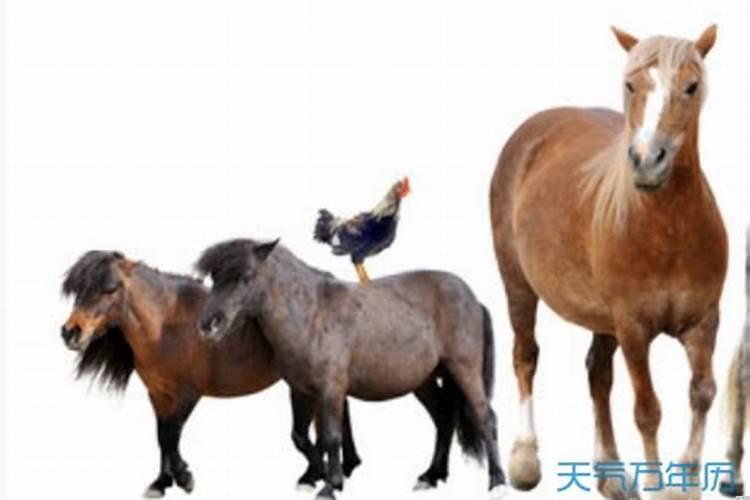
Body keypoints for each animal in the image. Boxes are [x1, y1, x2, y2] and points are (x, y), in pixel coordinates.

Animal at [59, 250, 363, 497]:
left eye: (110, 288)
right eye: (78, 289)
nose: (70, 332)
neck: (166, 325)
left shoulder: (188, 394)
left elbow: (171, 435)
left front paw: (184, 477)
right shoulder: (158, 395)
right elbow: (161, 437)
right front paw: (161, 482)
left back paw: (318, 475)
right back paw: (340, 467)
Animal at [195, 238, 507, 500]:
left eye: (246, 277)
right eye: (215, 278)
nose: (208, 325)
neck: (311, 316)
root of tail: (473, 299)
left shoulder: (331, 390)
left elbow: (331, 437)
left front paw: (330, 484)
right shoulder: (300, 390)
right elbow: (301, 437)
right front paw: (316, 476)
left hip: (464, 370)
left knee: (485, 418)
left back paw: (497, 481)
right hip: (424, 381)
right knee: (443, 419)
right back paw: (430, 476)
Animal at [489, 26, 726, 499]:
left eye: (691, 87)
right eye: (631, 85)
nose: (647, 161)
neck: (668, 231)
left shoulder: (703, 321)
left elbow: (702, 393)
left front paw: (685, 483)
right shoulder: (633, 328)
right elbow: (648, 410)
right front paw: (655, 484)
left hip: (603, 318)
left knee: (597, 375)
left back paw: (611, 475)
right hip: (517, 282)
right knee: (526, 355)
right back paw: (525, 461)